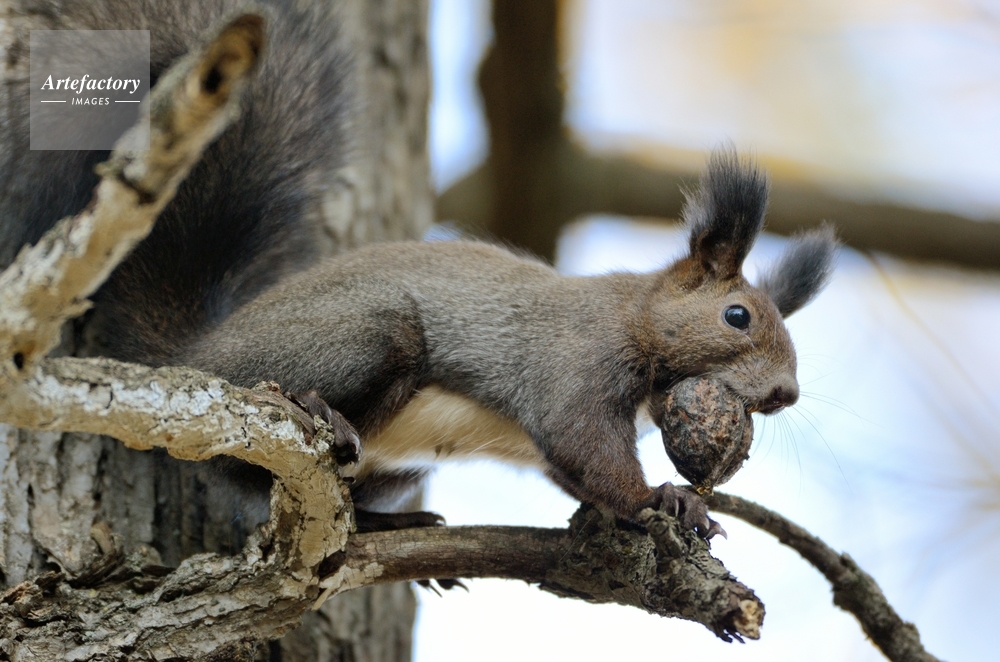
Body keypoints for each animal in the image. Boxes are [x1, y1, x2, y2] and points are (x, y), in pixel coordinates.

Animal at [0, 1, 836, 541]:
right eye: (738, 316)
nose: (787, 395)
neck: (633, 315)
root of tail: (192, 354)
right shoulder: (573, 361)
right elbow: (581, 445)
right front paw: (662, 498)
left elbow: (570, 472)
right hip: (366, 337)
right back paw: (315, 411)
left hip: (395, 464)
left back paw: (378, 524)